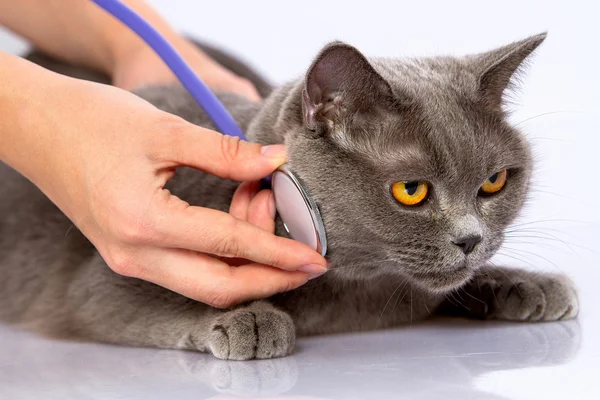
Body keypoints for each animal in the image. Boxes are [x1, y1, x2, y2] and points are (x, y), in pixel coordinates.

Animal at [1, 32, 580, 360]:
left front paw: (529, 283)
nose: (470, 240)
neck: (358, 292)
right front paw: (250, 319)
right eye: (411, 191)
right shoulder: (95, 283)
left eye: (494, 182)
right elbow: (148, 301)